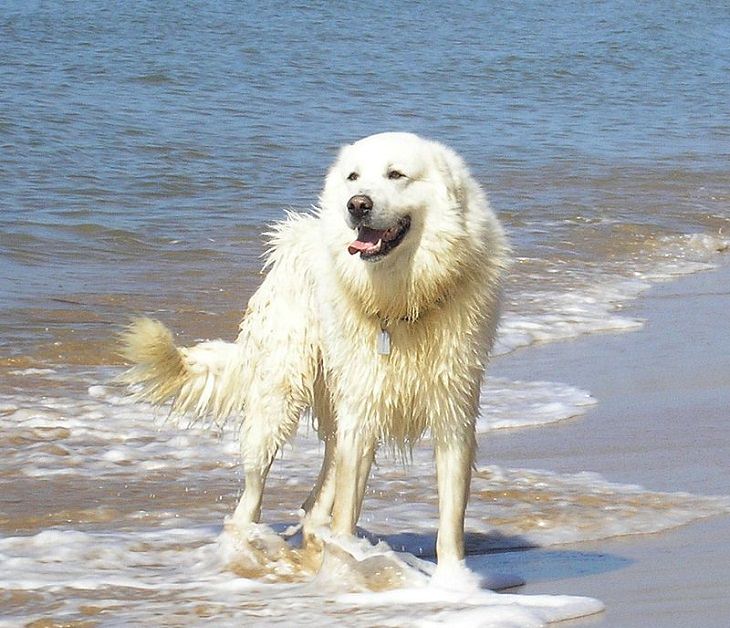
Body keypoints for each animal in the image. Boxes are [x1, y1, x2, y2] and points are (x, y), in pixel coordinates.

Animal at [119, 134, 506, 576]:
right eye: (353, 176)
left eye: (396, 174)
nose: (357, 205)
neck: (403, 300)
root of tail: (293, 237)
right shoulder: (361, 411)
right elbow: (347, 508)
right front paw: (343, 566)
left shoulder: (454, 413)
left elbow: (451, 518)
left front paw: (454, 580)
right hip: (279, 397)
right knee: (250, 498)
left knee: (315, 500)